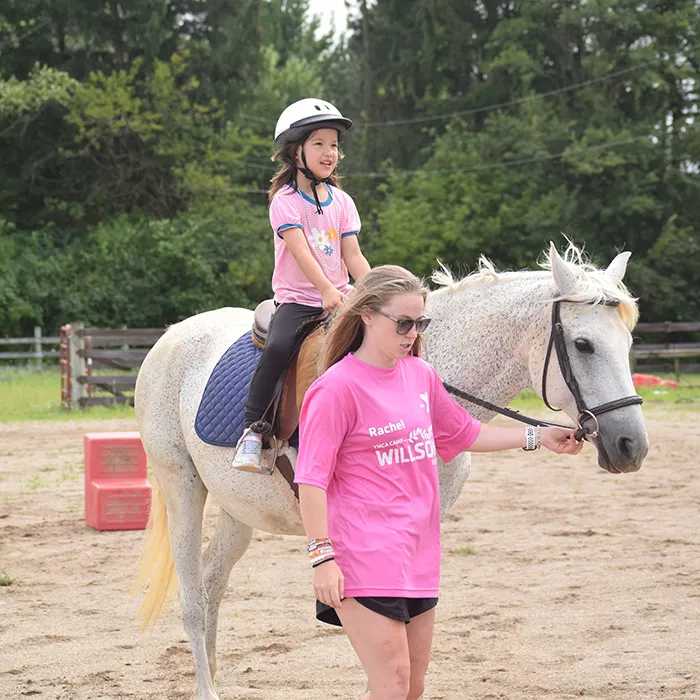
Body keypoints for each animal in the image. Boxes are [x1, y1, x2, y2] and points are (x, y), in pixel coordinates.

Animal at [133, 242, 652, 700]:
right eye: (583, 344)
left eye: (627, 340)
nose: (632, 446)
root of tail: (171, 336)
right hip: (182, 488)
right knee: (193, 598)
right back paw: (206, 688)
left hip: (239, 509)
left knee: (212, 583)